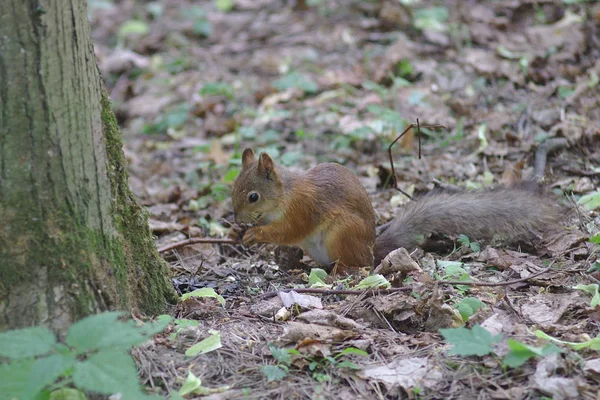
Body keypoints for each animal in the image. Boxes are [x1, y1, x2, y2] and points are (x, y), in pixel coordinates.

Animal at [232, 148, 560, 274]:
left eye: (253, 196)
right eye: (233, 186)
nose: (235, 218)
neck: (283, 196)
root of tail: (372, 250)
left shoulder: (303, 209)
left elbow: (289, 231)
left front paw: (255, 235)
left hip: (342, 233)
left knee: (358, 265)